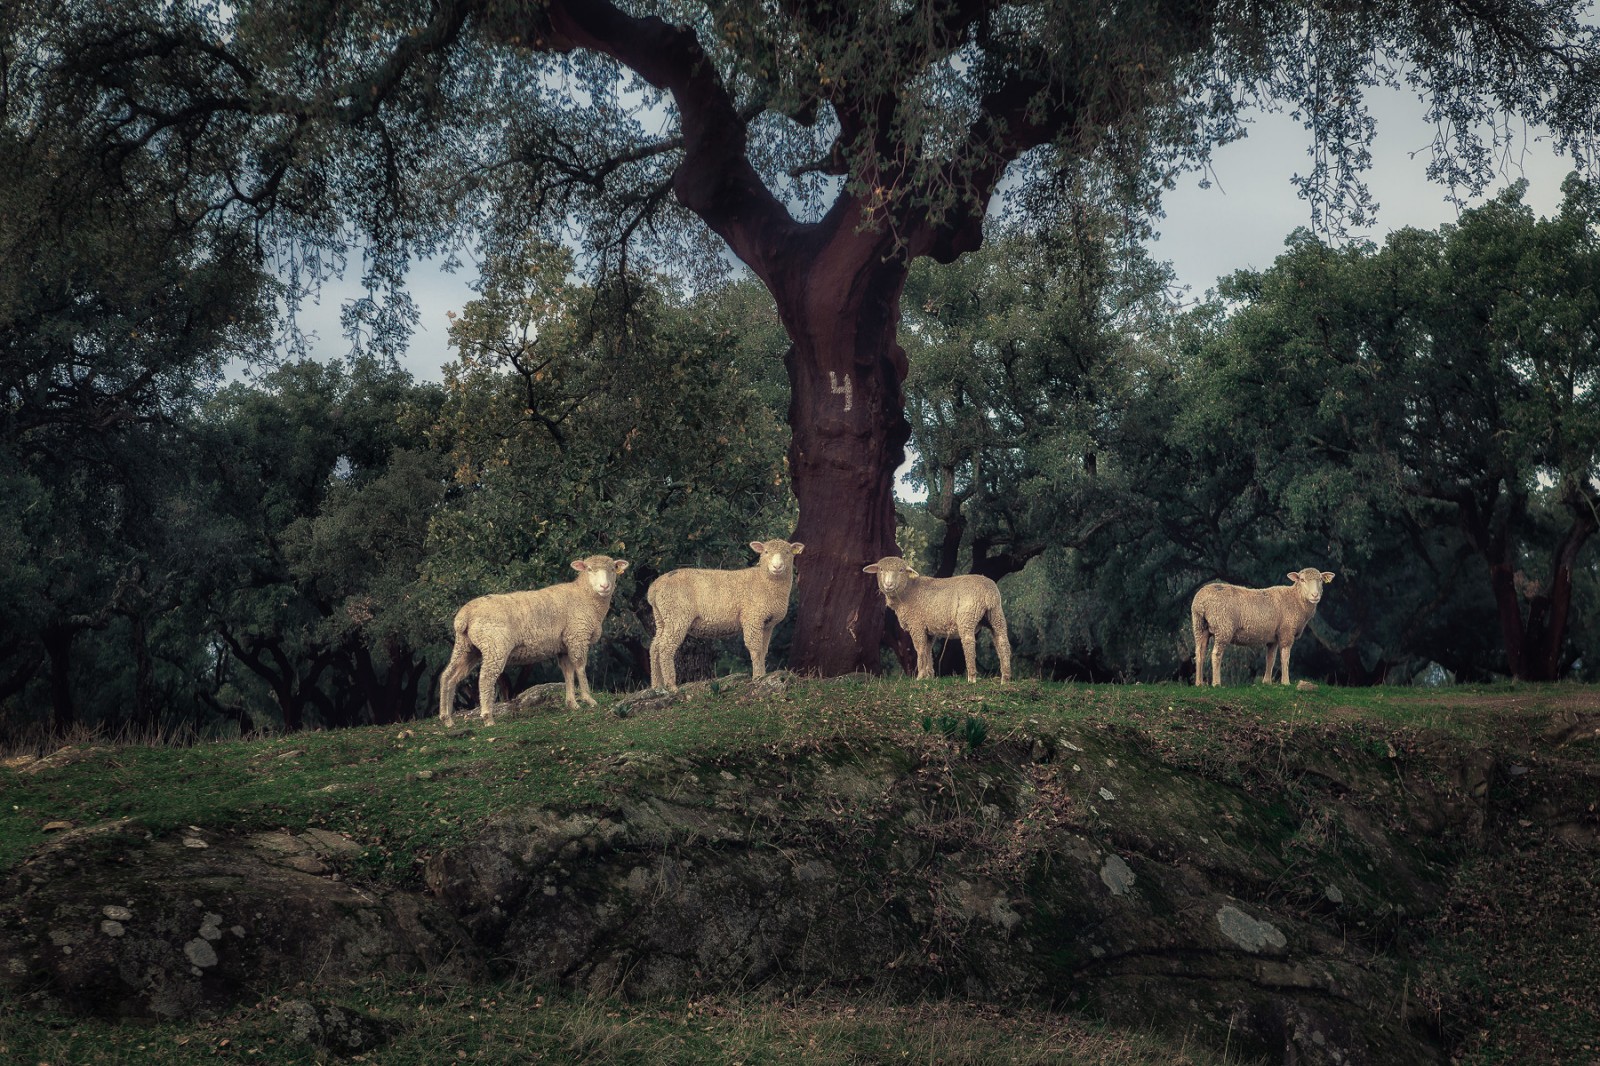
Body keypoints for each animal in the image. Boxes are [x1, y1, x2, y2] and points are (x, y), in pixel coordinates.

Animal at [444, 557, 636, 723]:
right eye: (589, 569)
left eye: (612, 569)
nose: (605, 586)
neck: (585, 596)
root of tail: (465, 615)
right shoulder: (577, 636)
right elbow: (580, 668)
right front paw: (588, 699)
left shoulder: (564, 645)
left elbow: (568, 672)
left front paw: (572, 703)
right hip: (495, 645)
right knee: (485, 678)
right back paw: (487, 718)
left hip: (466, 646)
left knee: (448, 676)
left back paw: (447, 719)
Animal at [646, 541, 806, 688]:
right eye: (766, 552)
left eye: (787, 552)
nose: (777, 567)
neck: (764, 581)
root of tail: (654, 588)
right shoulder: (752, 617)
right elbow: (755, 648)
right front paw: (758, 677)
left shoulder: (767, 624)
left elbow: (763, 650)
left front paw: (763, 674)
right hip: (677, 614)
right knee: (665, 647)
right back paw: (671, 685)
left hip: (662, 617)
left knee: (655, 647)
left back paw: (657, 685)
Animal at [864, 557, 1011, 681]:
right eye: (881, 569)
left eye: (901, 570)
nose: (888, 584)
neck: (907, 591)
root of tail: (988, 592)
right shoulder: (929, 629)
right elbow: (928, 650)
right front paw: (929, 676)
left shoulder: (917, 624)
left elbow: (920, 649)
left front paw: (920, 676)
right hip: (996, 614)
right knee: (1002, 641)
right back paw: (1005, 679)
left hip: (967, 615)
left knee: (969, 642)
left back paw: (972, 678)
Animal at [1196, 569, 1331, 685]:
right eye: (1302, 580)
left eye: (1320, 579)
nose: (1315, 595)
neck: (1296, 599)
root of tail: (1201, 601)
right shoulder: (1286, 632)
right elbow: (1285, 658)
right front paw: (1286, 682)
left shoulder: (1273, 638)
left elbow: (1270, 659)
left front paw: (1267, 682)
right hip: (1223, 626)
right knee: (1216, 654)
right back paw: (1216, 683)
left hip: (1200, 626)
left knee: (1199, 653)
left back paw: (1199, 683)